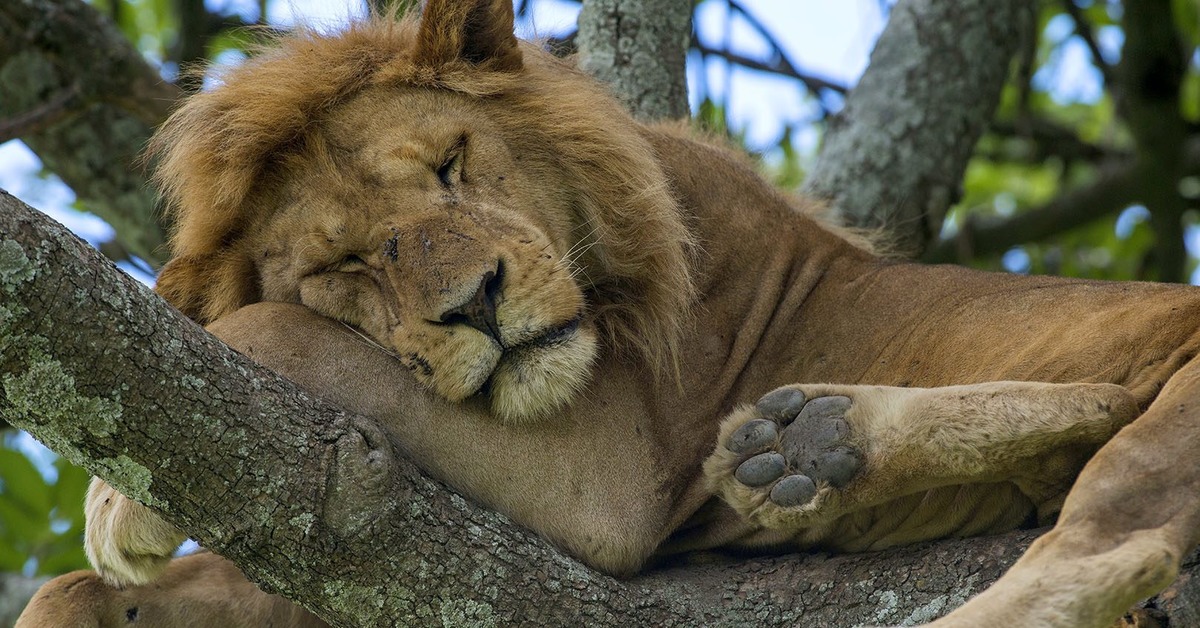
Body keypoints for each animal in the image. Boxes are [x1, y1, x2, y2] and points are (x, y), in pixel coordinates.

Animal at [16, 1, 1200, 628]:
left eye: (450, 164)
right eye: (350, 260)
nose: (476, 303)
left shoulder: (618, 467)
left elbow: (265, 333)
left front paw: (119, 508)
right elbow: (77, 595)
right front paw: (107, 585)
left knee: (1108, 548)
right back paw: (811, 443)